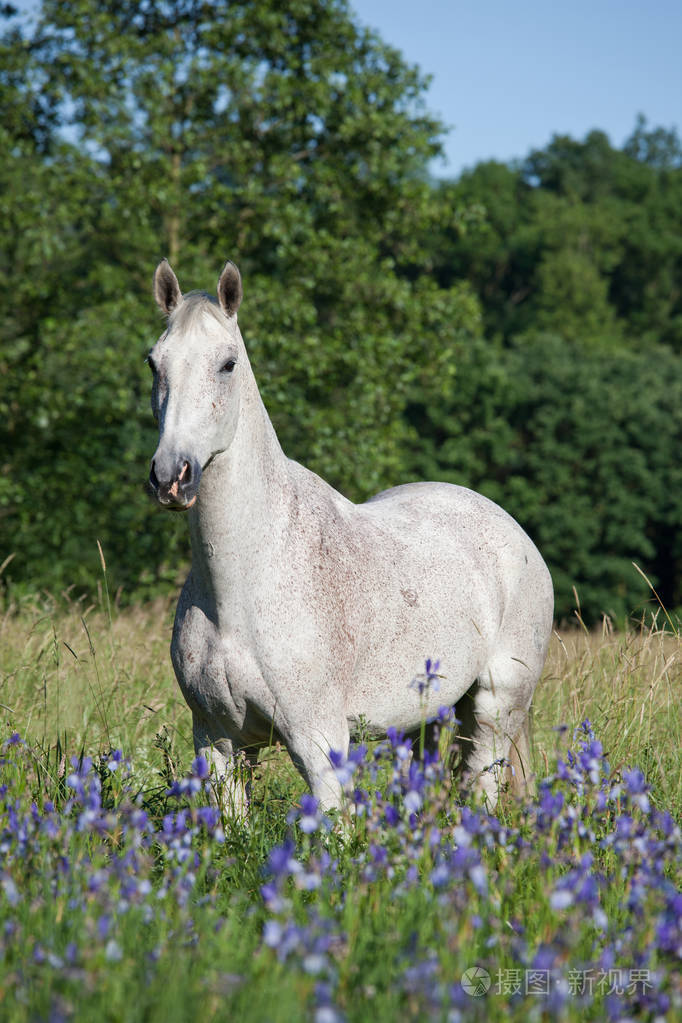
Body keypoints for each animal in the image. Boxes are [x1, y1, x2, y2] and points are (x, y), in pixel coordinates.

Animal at [149, 261, 556, 814]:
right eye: (154, 363)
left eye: (227, 364)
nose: (172, 476)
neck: (239, 587)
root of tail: (514, 532)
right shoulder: (216, 740)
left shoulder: (318, 744)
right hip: (425, 719)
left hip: (496, 707)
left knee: (484, 786)